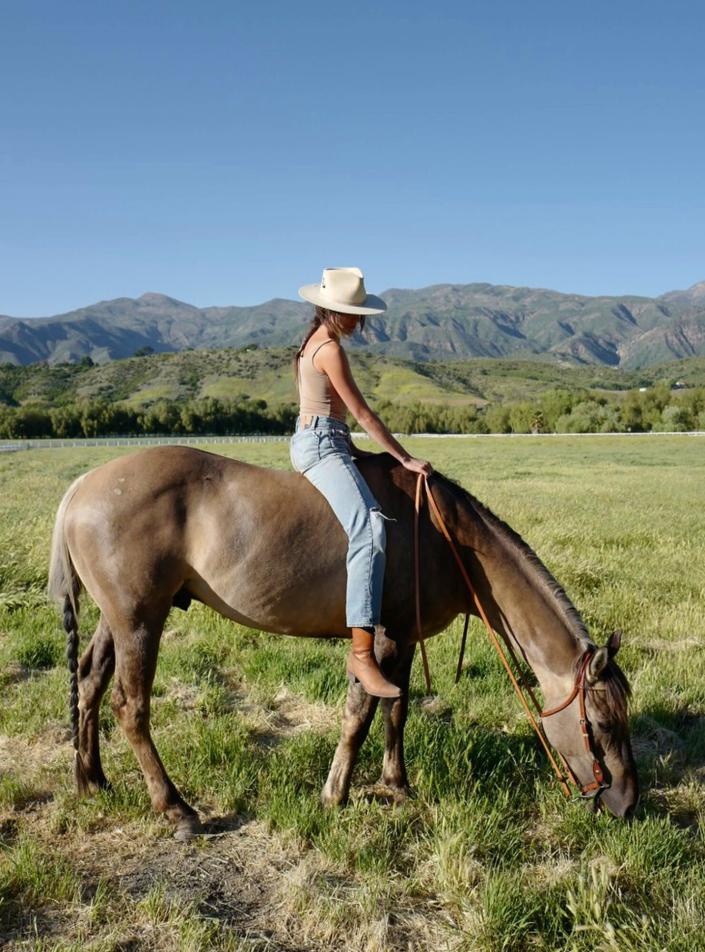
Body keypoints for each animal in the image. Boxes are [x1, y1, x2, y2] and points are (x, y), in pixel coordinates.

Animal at [46, 442, 636, 836]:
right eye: (604, 724)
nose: (629, 804)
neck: (446, 539)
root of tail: (81, 486)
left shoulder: (403, 636)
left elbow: (397, 711)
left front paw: (397, 783)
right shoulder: (382, 639)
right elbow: (361, 713)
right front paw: (335, 793)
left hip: (119, 619)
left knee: (90, 682)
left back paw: (92, 779)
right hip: (140, 621)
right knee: (131, 707)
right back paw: (175, 807)